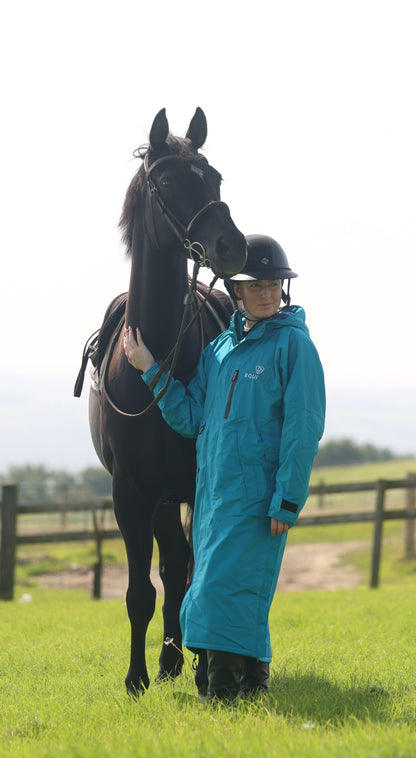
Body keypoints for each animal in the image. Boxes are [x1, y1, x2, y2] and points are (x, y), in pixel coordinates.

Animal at [74, 107, 246, 694]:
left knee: (180, 566)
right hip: (161, 498)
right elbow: (139, 591)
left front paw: (200, 668)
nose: (231, 246)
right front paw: (137, 678)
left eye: (215, 178)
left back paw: (181, 660)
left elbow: (193, 574)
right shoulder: (129, 494)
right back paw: (169, 661)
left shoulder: (198, 483)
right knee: (171, 564)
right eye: (167, 184)